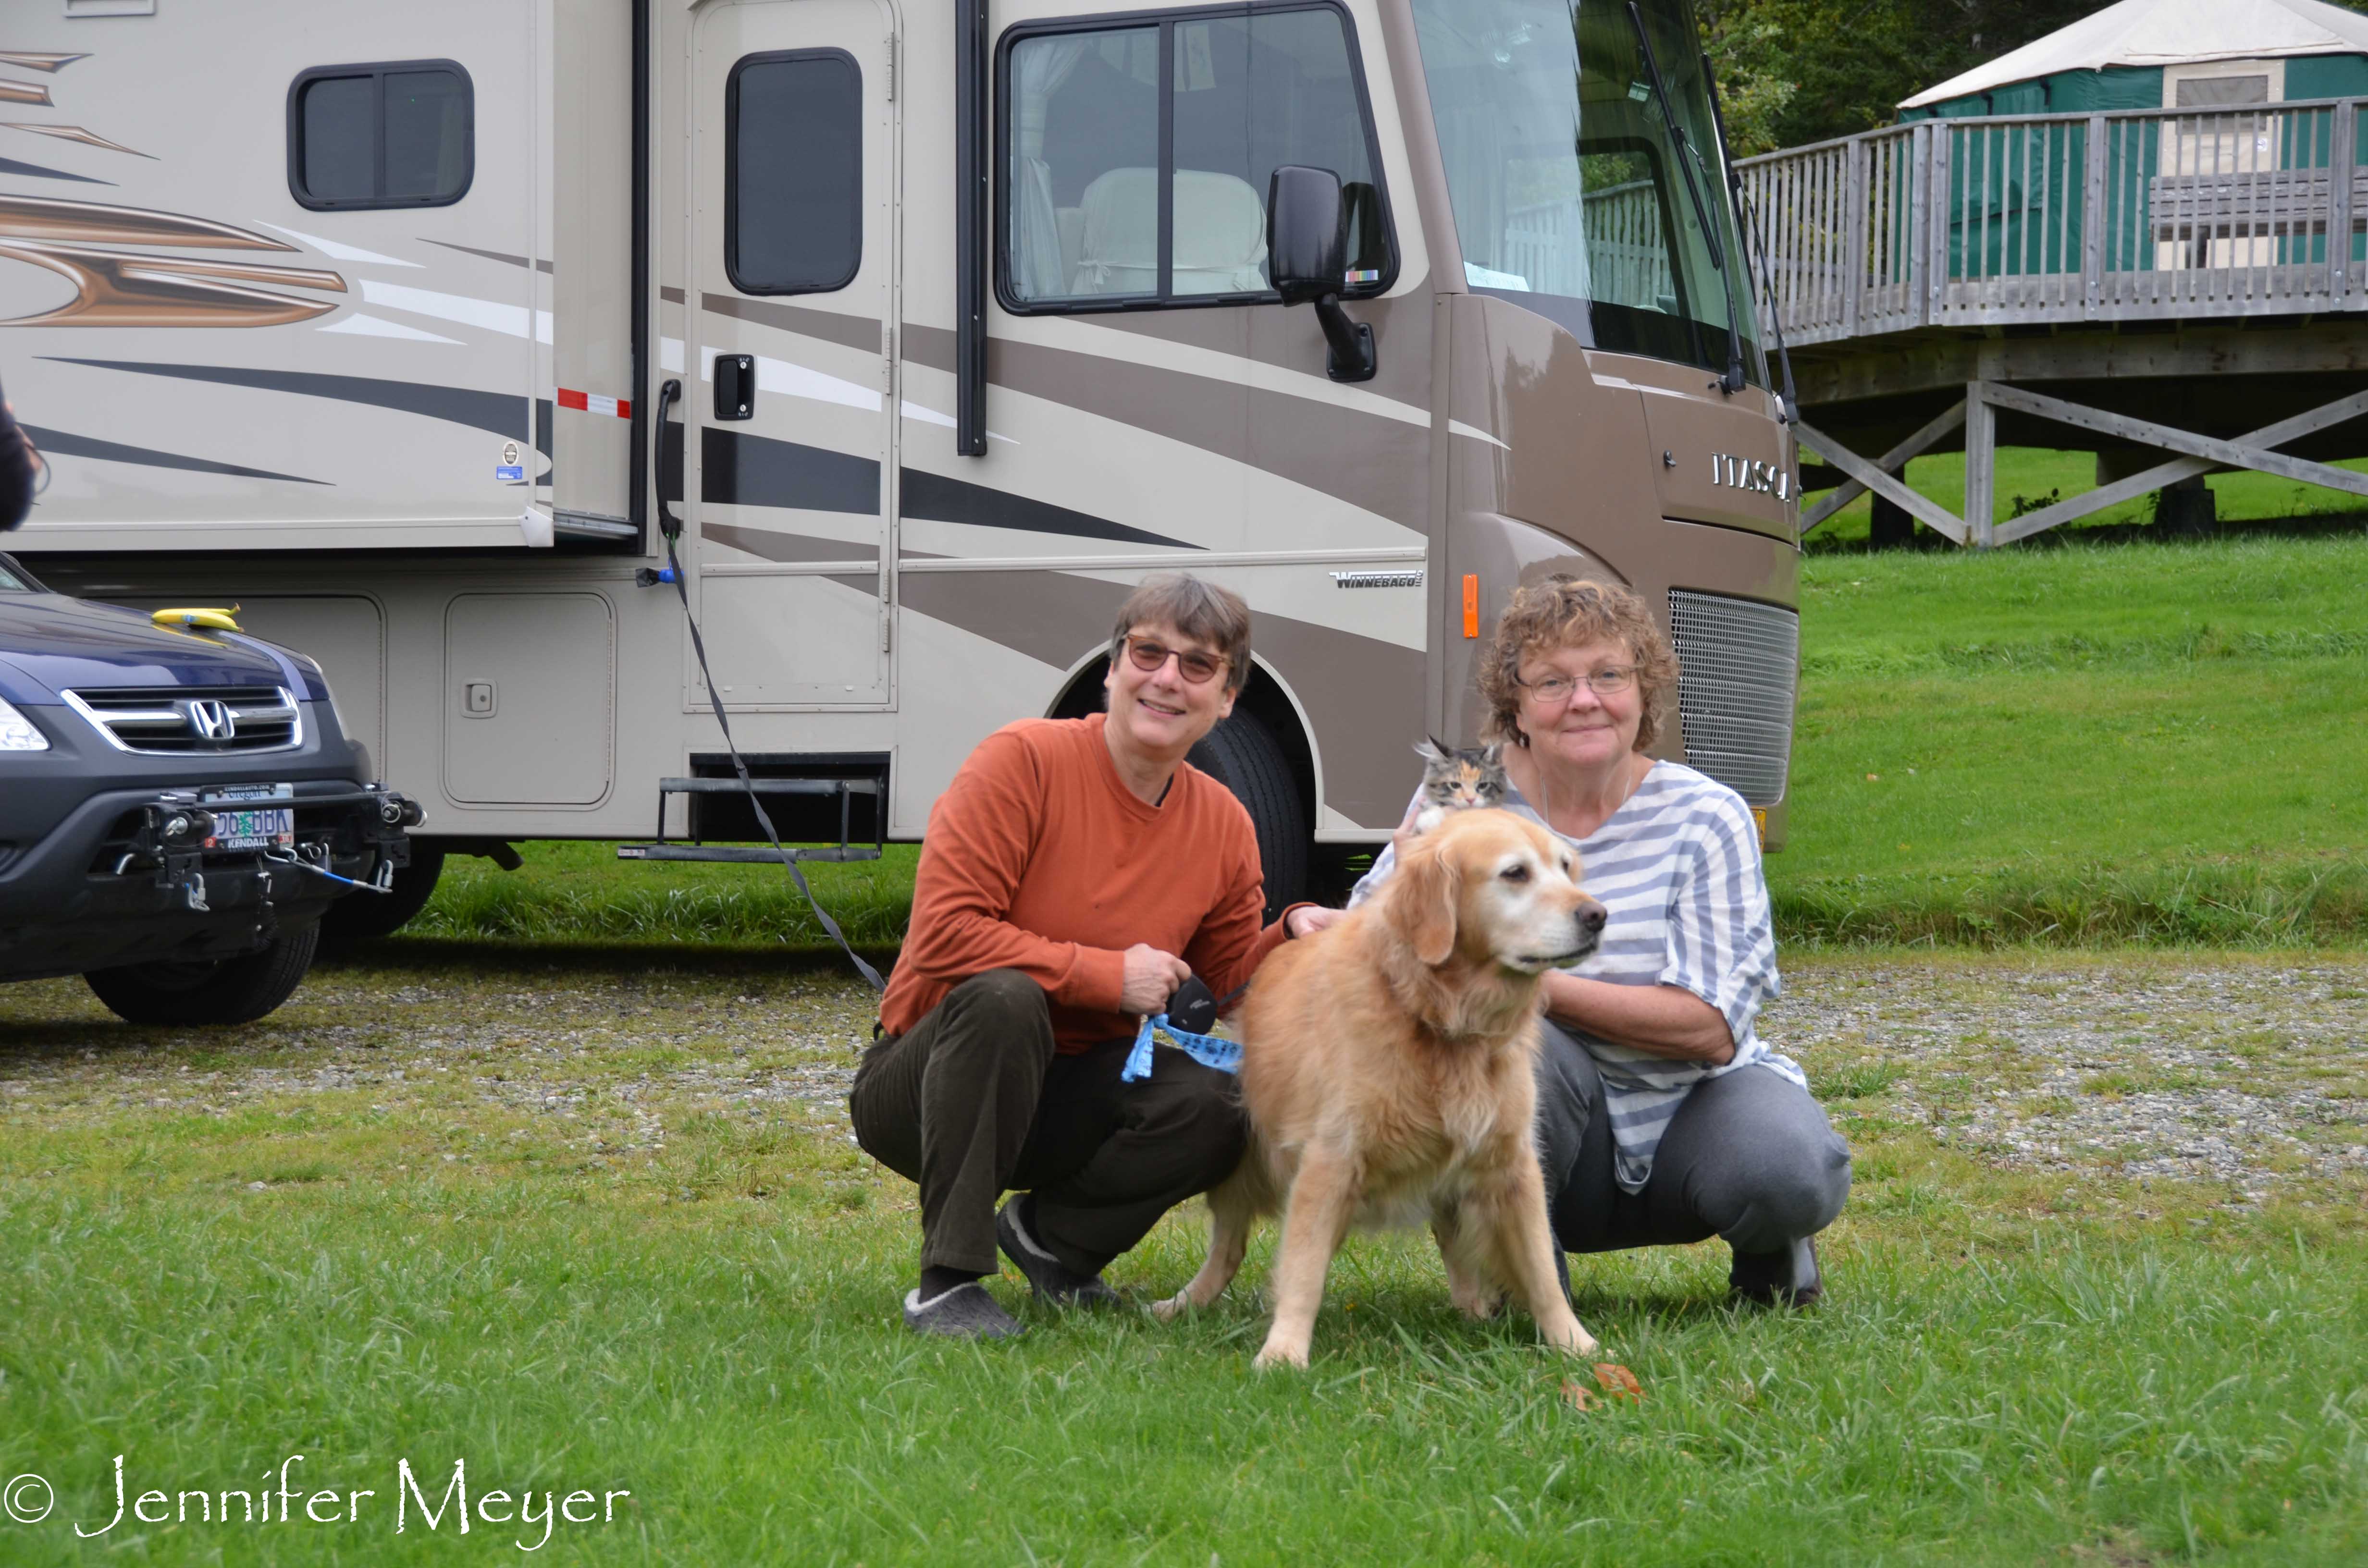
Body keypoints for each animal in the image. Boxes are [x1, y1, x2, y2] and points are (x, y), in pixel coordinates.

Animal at [1151, 815, 1610, 1373]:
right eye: (1515, 873)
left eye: (1565, 867)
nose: (1597, 915)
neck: (1437, 1016)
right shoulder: (1329, 1162)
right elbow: (1303, 1270)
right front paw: (1284, 1353)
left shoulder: (1513, 1167)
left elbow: (1543, 1272)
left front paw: (1577, 1346)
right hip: (1245, 1164)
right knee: (1229, 1247)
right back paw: (1184, 1304)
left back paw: (1472, 1308)